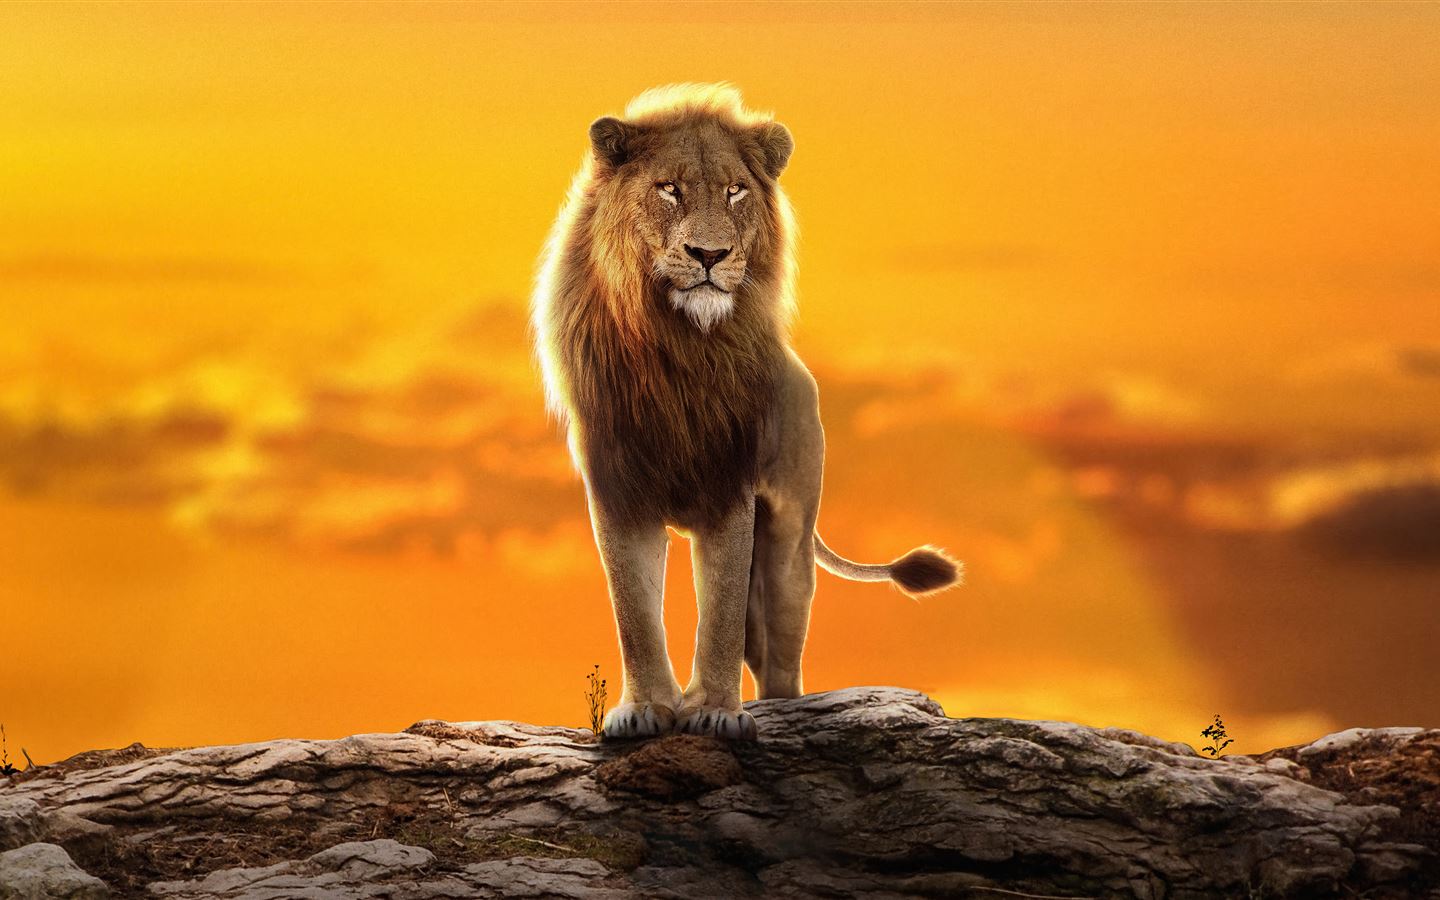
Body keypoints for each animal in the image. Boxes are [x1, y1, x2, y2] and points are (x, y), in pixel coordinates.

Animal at [532, 83, 961, 741]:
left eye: (735, 191)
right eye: (669, 188)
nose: (709, 254)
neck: (679, 348)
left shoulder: (729, 486)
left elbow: (722, 614)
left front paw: (714, 711)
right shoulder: (618, 489)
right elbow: (634, 611)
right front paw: (646, 709)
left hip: (788, 541)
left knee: (779, 648)